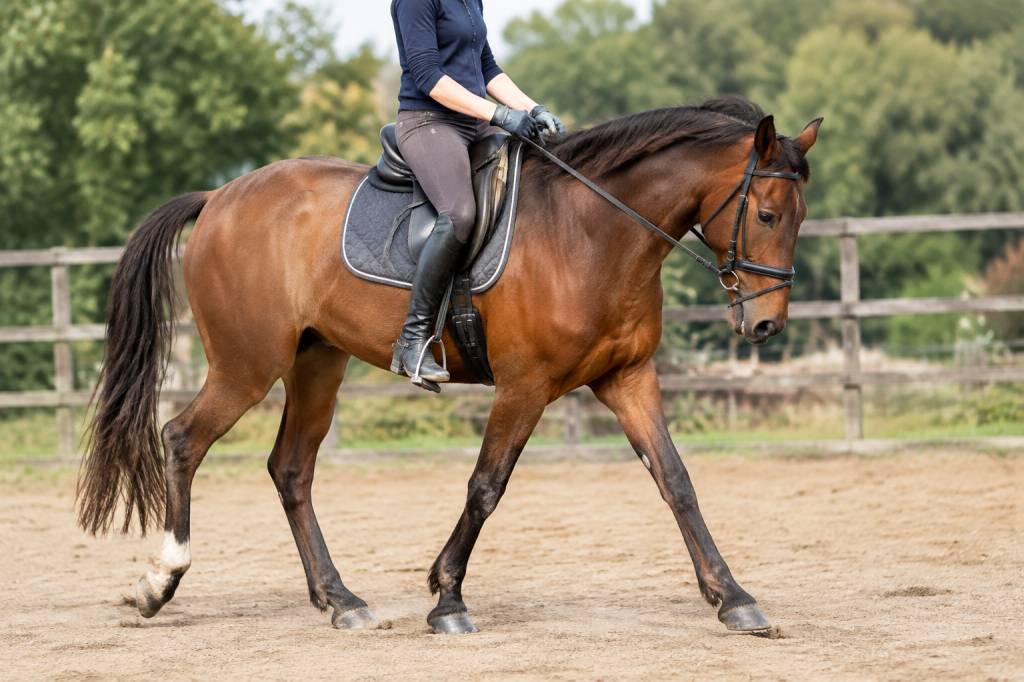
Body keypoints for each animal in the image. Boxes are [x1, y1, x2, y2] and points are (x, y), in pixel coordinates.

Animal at [77, 96, 821, 635]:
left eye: (798, 216)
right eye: (765, 213)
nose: (765, 325)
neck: (591, 232)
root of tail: (220, 198)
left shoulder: (627, 377)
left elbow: (676, 481)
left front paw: (734, 597)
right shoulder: (525, 386)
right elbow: (486, 486)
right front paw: (448, 600)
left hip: (317, 364)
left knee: (290, 469)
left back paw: (340, 600)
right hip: (245, 365)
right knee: (182, 439)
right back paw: (159, 582)